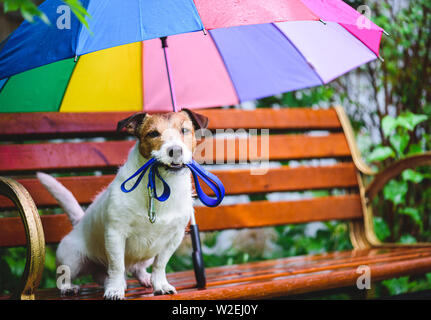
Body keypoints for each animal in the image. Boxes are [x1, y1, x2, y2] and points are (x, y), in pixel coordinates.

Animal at [38, 109, 210, 300]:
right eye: (153, 134)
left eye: (184, 130)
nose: (176, 150)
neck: (160, 185)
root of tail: (79, 222)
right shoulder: (115, 234)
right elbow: (116, 266)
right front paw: (114, 289)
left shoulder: (174, 237)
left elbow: (160, 265)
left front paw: (160, 285)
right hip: (72, 258)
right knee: (66, 275)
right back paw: (70, 287)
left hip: (146, 255)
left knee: (134, 269)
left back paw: (144, 278)